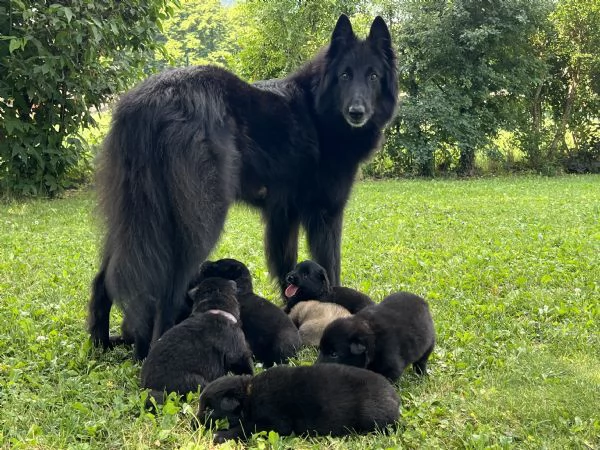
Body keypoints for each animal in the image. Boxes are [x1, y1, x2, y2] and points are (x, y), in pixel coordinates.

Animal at [88, 13, 398, 358]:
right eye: (345, 74)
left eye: (373, 75)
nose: (357, 112)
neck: (318, 110)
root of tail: (151, 99)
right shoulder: (327, 213)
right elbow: (331, 267)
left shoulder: (283, 216)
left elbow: (286, 264)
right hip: (200, 221)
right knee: (168, 289)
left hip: (135, 220)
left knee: (105, 279)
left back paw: (101, 345)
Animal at [199, 364, 400, 442]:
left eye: (209, 410)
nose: (195, 422)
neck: (249, 393)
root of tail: (394, 396)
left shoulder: (275, 424)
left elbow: (246, 428)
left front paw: (221, 435)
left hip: (371, 415)